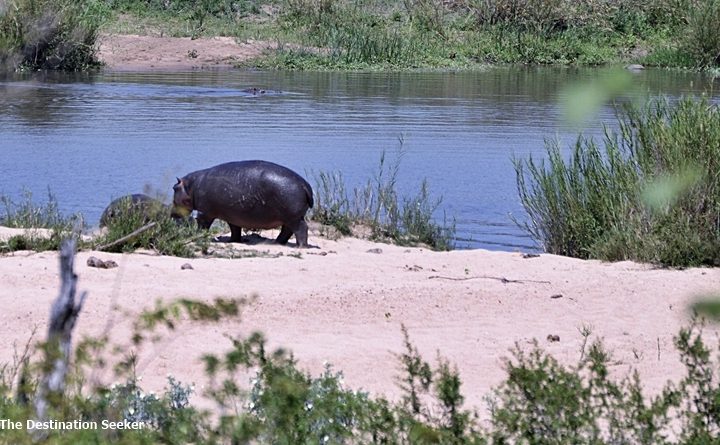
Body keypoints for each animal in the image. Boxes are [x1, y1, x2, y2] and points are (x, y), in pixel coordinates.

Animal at [173, 161, 314, 248]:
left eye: (174, 188)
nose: (172, 215)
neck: (190, 186)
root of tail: (304, 184)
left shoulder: (205, 213)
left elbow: (202, 226)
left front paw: (197, 236)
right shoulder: (231, 215)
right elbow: (235, 228)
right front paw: (232, 240)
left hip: (293, 217)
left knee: (301, 229)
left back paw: (300, 247)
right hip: (290, 217)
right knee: (287, 231)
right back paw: (276, 243)